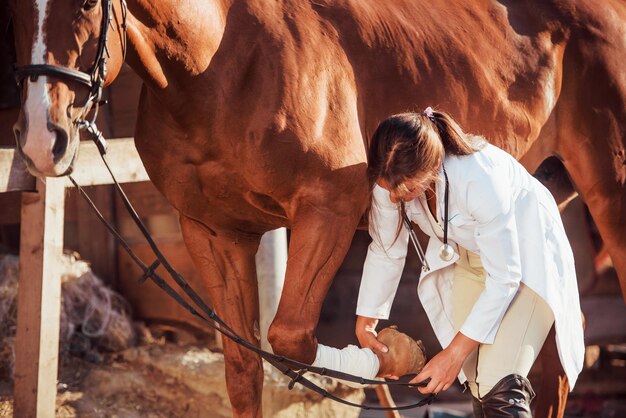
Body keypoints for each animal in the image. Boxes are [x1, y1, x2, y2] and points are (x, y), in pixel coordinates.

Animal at [9, 0, 624, 416]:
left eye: (87, 3)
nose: (42, 137)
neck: (221, 66)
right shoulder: (213, 231)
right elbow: (245, 367)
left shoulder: (328, 211)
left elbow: (289, 339)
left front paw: (401, 353)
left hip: (609, 190)